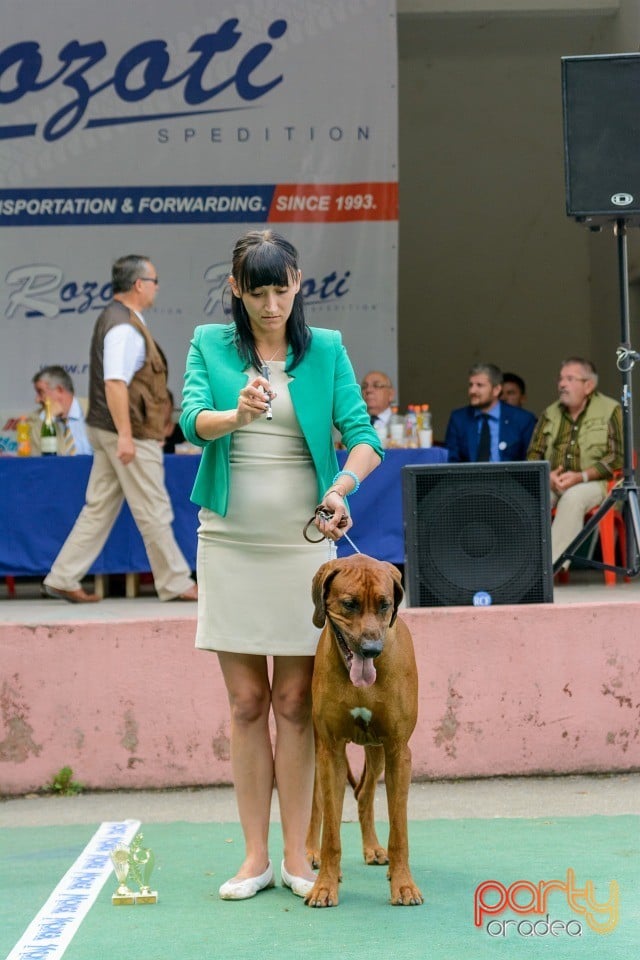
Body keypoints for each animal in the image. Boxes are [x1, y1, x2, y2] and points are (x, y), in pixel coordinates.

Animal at [306, 556, 422, 908]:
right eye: (349, 604)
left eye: (385, 605)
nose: (371, 649)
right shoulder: (330, 748)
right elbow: (331, 830)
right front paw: (325, 886)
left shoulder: (398, 750)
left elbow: (399, 829)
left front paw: (403, 885)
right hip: (320, 748)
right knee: (318, 802)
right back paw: (311, 854)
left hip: (378, 749)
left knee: (364, 793)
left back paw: (374, 849)